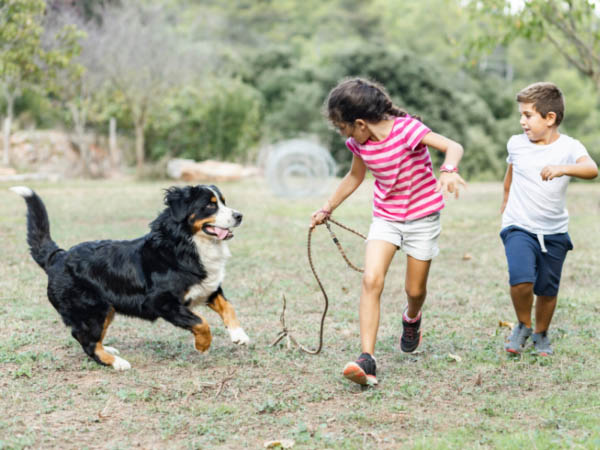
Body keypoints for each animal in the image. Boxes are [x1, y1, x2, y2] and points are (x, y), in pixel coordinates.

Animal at [9, 185, 248, 370]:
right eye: (209, 205)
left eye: (223, 202)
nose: (239, 216)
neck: (186, 245)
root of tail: (58, 257)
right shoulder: (162, 302)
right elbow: (201, 322)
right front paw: (202, 345)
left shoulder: (208, 288)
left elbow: (228, 307)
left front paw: (239, 335)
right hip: (92, 310)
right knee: (86, 341)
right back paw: (116, 362)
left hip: (106, 309)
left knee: (90, 338)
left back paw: (108, 349)